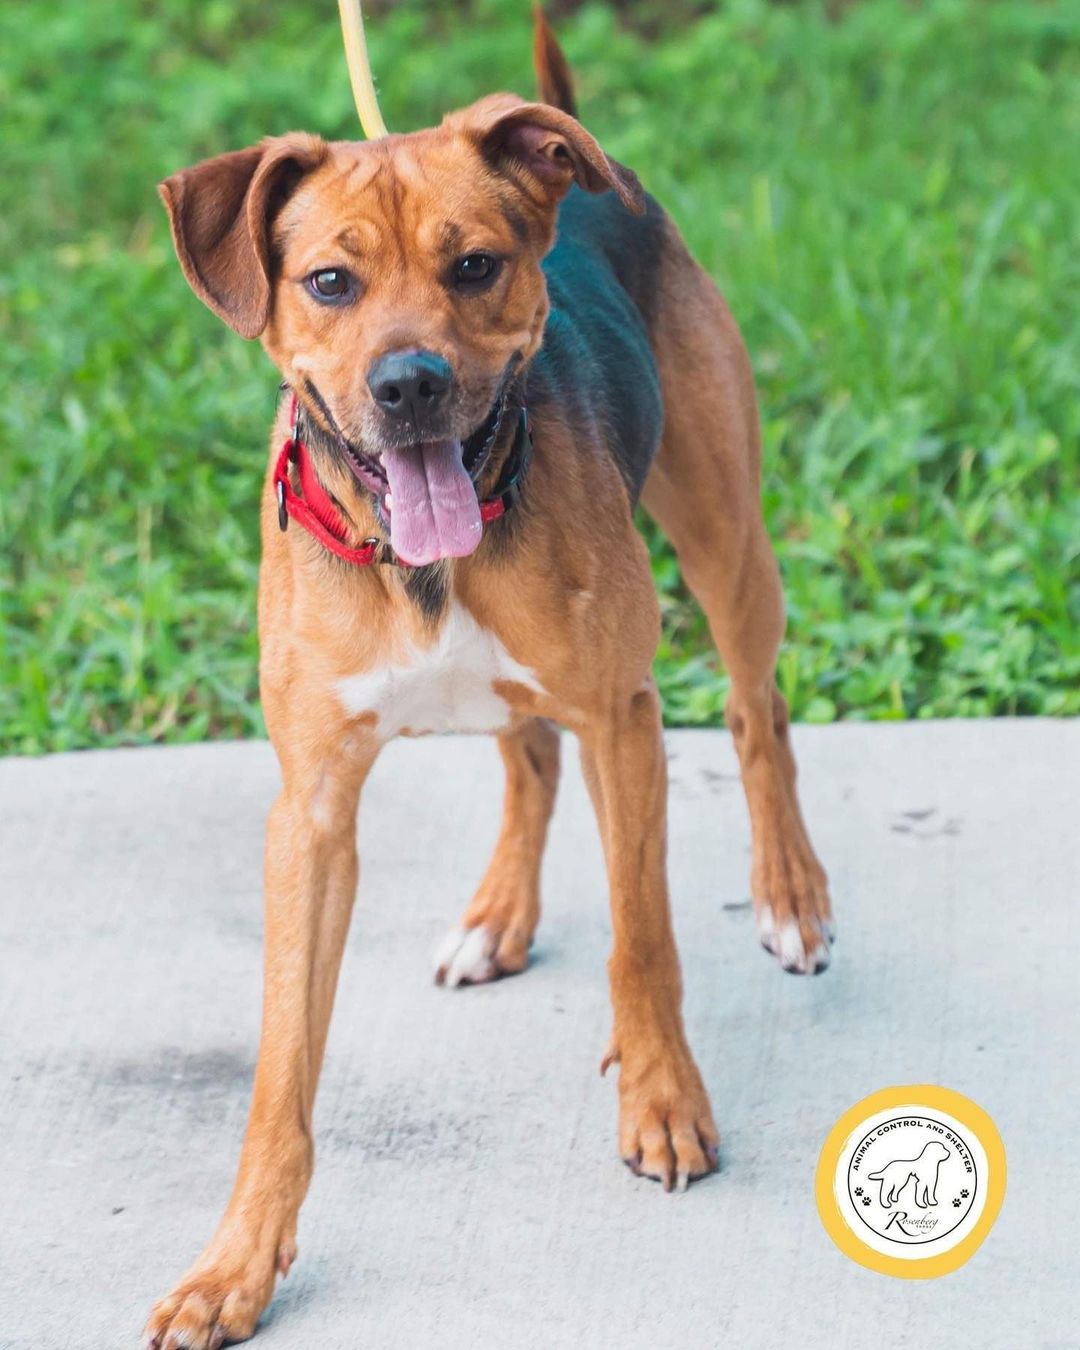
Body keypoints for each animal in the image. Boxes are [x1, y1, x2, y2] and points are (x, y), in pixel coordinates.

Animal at [145, 13, 837, 1350]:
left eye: (473, 266)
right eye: (329, 283)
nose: (409, 384)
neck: (422, 562)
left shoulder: (627, 718)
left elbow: (641, 941)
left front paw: (661, 1097)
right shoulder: (311, 809)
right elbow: (281, 1067)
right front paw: (236, 1262)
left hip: (726, 540)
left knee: (756, 709)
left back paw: (789, 893)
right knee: (529, 756)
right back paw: (497, 918)